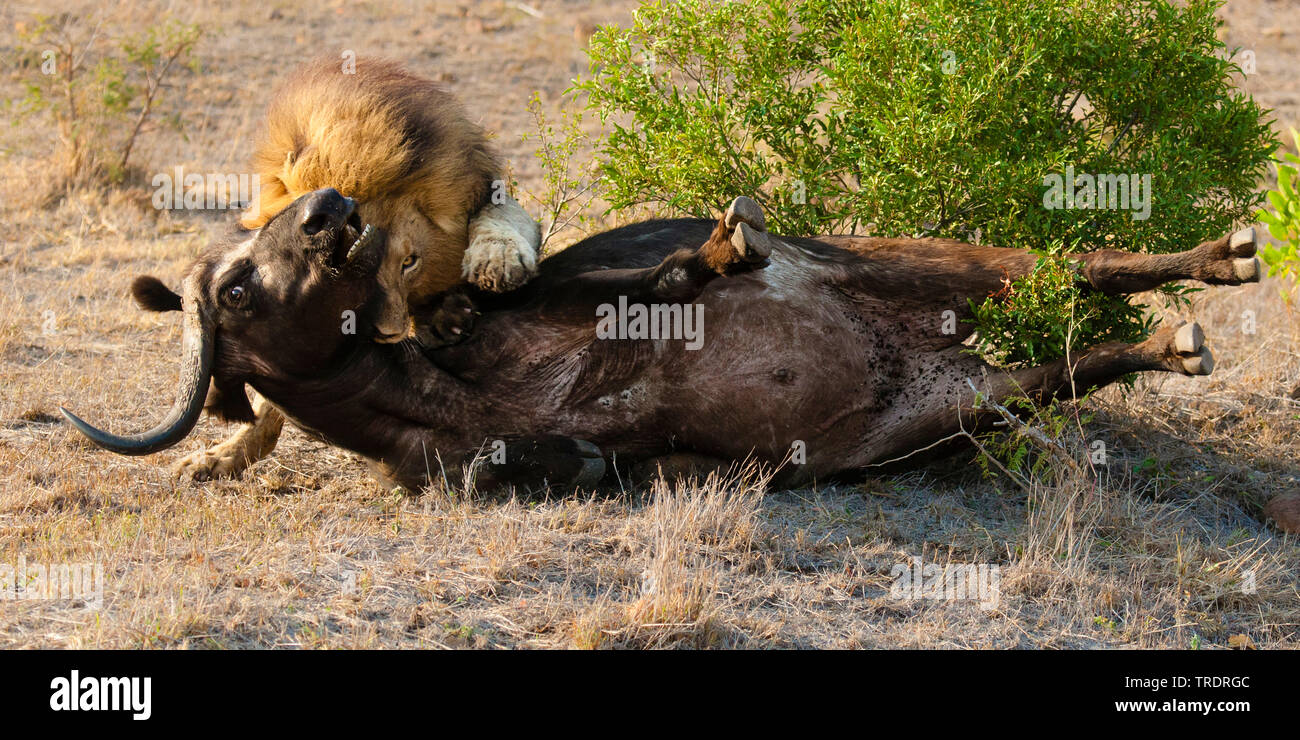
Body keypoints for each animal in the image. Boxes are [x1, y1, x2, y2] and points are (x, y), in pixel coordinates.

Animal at [174, 57, 541, 480]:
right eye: (336, 268)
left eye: (409, 262)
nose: (388, 334)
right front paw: (222, 455)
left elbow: (502, 220)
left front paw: (495, 263)